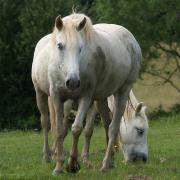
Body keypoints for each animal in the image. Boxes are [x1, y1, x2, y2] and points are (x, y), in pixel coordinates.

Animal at [32, 13, 142, 176]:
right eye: (60, 46)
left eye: (80, 48)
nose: (72, 82)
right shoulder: (57, 97)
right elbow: (59, 130)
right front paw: (58, 166)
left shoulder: (86, 97)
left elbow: (77, 128)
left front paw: (72, 164)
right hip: (40, 93)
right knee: (45, 122)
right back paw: (46, 156)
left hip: (121, 92)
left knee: (112, 127)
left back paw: (106, 164)